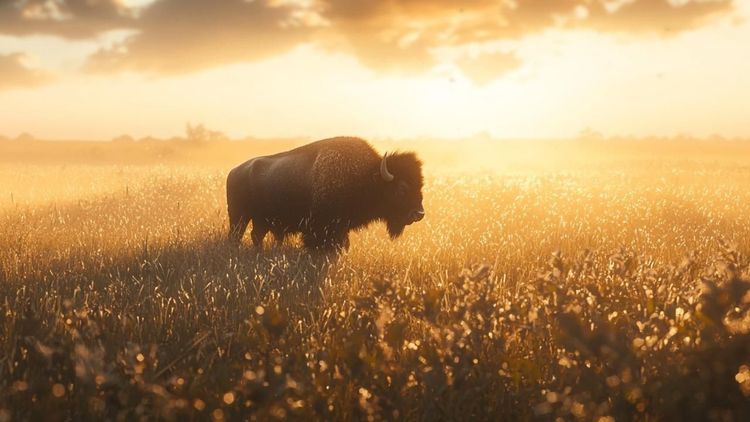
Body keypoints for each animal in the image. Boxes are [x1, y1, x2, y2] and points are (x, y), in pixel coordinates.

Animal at [226, 137, 425, 250]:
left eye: (420, 186)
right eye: (402, 188)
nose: (419, 213)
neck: (365, 175)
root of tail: (234, 171)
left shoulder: (341, 228)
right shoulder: (321, 228)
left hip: (260, 220)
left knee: (256, 235)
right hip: (239, 217)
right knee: (237, 236)